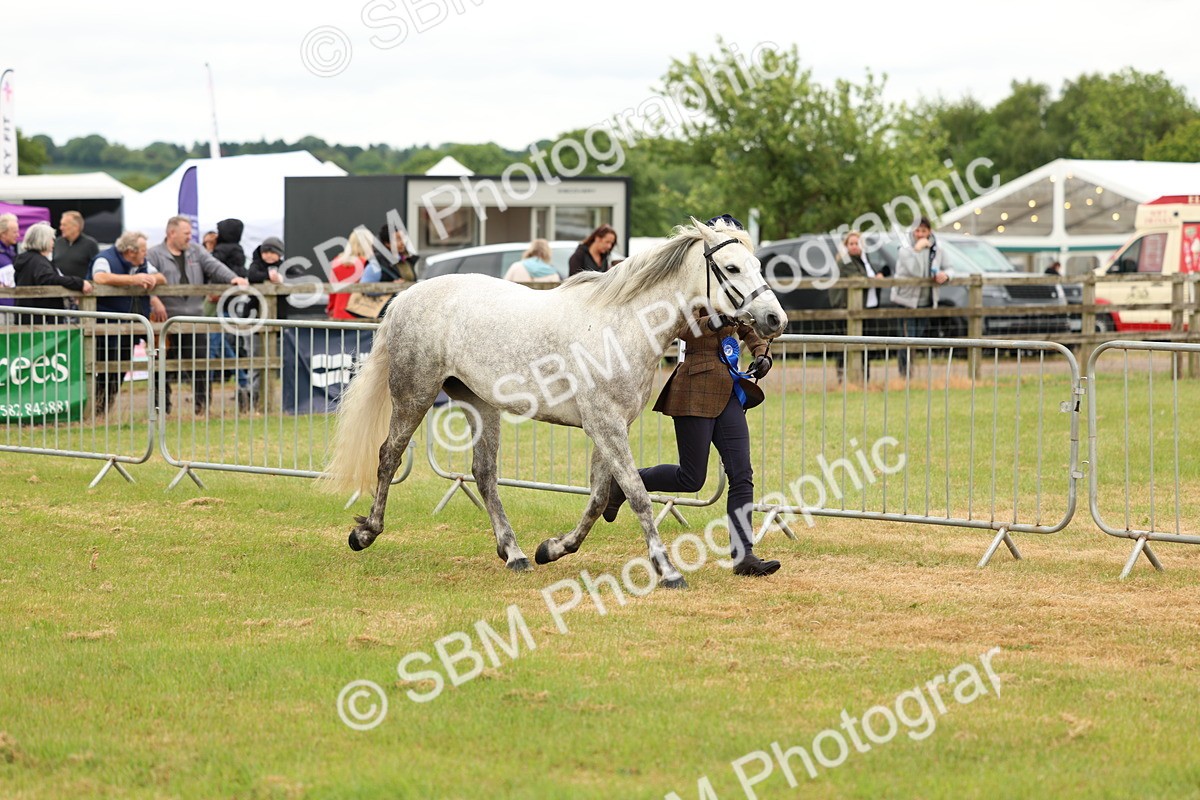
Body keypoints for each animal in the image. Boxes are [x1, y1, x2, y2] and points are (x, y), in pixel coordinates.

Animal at [325, 217, 786, 588]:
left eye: (758, 266)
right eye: (731, 268)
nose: (775, 320)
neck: (621, 325)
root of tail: (405, 298)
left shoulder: (611, 426)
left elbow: (600, 496)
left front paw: (553, 548)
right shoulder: (605, 426)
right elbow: (636, 493)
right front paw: (668, 571)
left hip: (478, 402)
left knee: (484, 474)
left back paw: (514, 553)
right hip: (414, 394)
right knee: (389, 455)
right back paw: (365, 533)